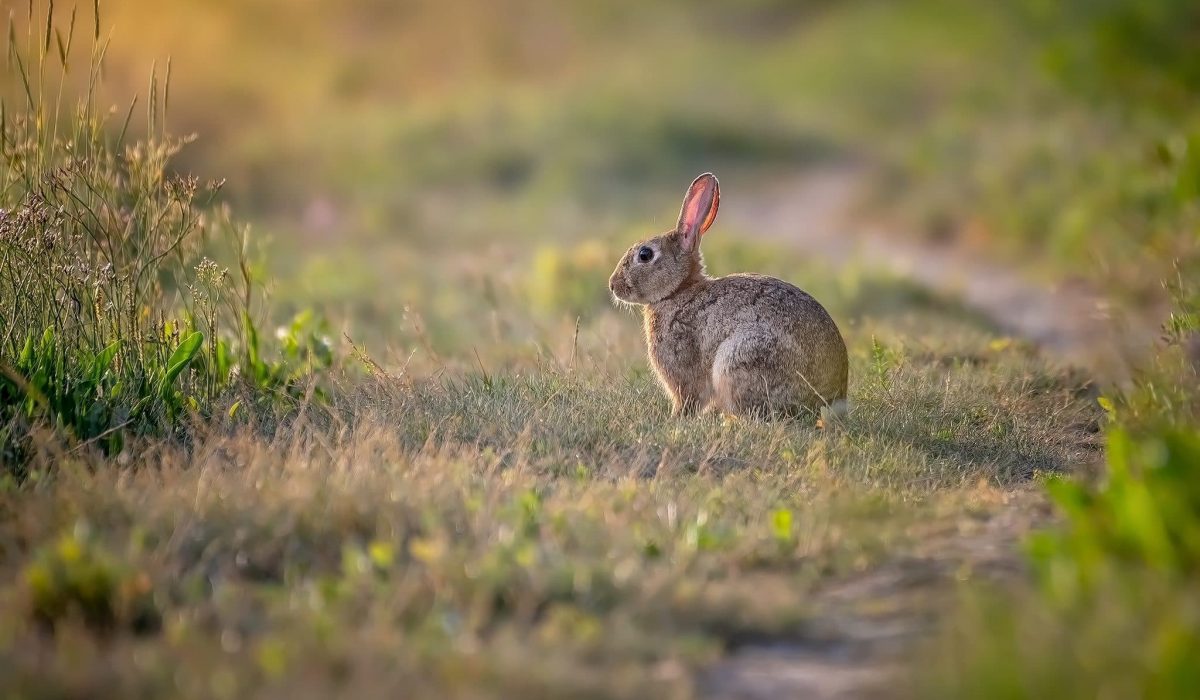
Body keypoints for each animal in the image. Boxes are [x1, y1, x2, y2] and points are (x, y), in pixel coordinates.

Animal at [609, 172, 854, 420]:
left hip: (742, 359)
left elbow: (687, 398)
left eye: (645, 254)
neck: (679, 291)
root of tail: (831, 398)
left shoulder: (682, 369)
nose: (612, 285)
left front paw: (675, 418)